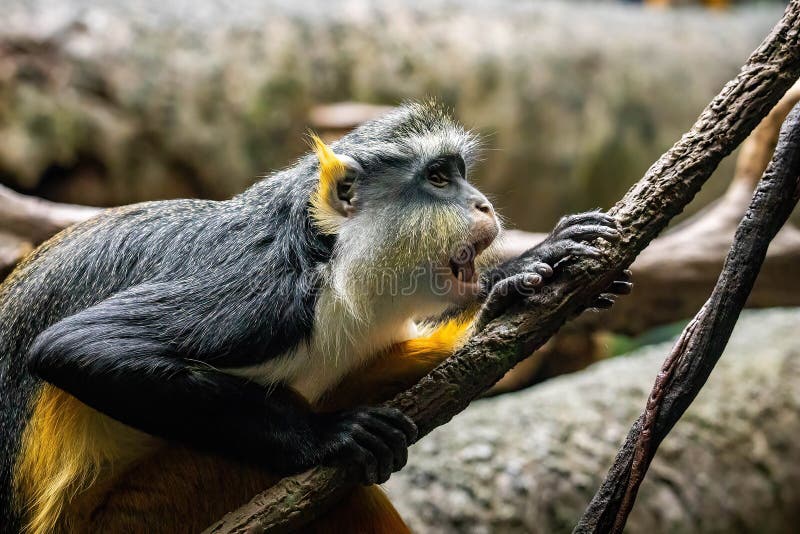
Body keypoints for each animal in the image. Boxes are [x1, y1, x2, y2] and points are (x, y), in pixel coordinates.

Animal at [0, 101, 628, 534]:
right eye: (439, 179)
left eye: (459, 174)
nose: (483, 205)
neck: (333, 261)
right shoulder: (262, 297)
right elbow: (77, 347)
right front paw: (326, 438)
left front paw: (516, 281)